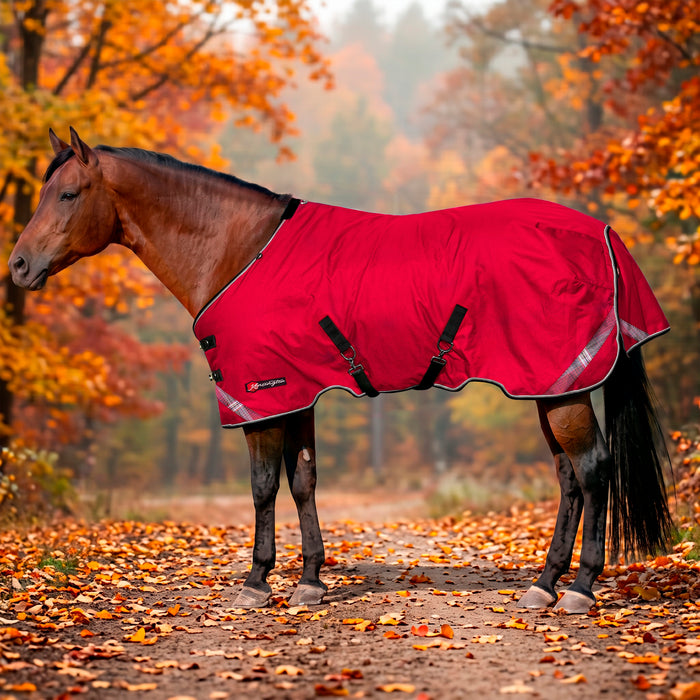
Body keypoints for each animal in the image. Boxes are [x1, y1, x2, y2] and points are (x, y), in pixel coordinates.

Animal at [8, 128, 673, 614]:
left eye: (67, 194)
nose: (17, 266)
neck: (238, 250)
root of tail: (603, 234)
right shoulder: (296, 393)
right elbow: (302, 481)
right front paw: (309, 581)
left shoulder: (259, 396)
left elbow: (262, 487)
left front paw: (256, 582)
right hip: (550, 385)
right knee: (569, 478)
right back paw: (545, 584)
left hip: (562, 387)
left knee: (593, 470)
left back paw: (580, 589)